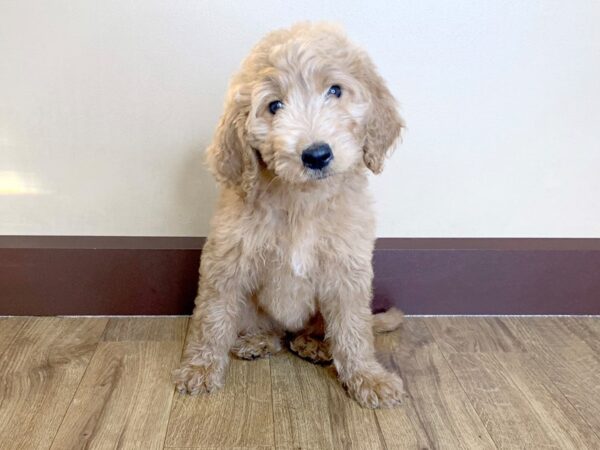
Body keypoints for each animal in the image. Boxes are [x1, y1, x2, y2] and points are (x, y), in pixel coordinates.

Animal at [176, 22, 406, 410]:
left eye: (335, 91)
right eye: (274, 106)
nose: (316, 155)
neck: (302, 199)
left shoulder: (347, 269)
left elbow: (354, 330)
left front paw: (368, 378)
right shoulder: (227, 260)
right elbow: (212, 317)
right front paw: (200, 367)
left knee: (317, 331)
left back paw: (315, 345)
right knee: (266, 328)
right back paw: (259, 340)